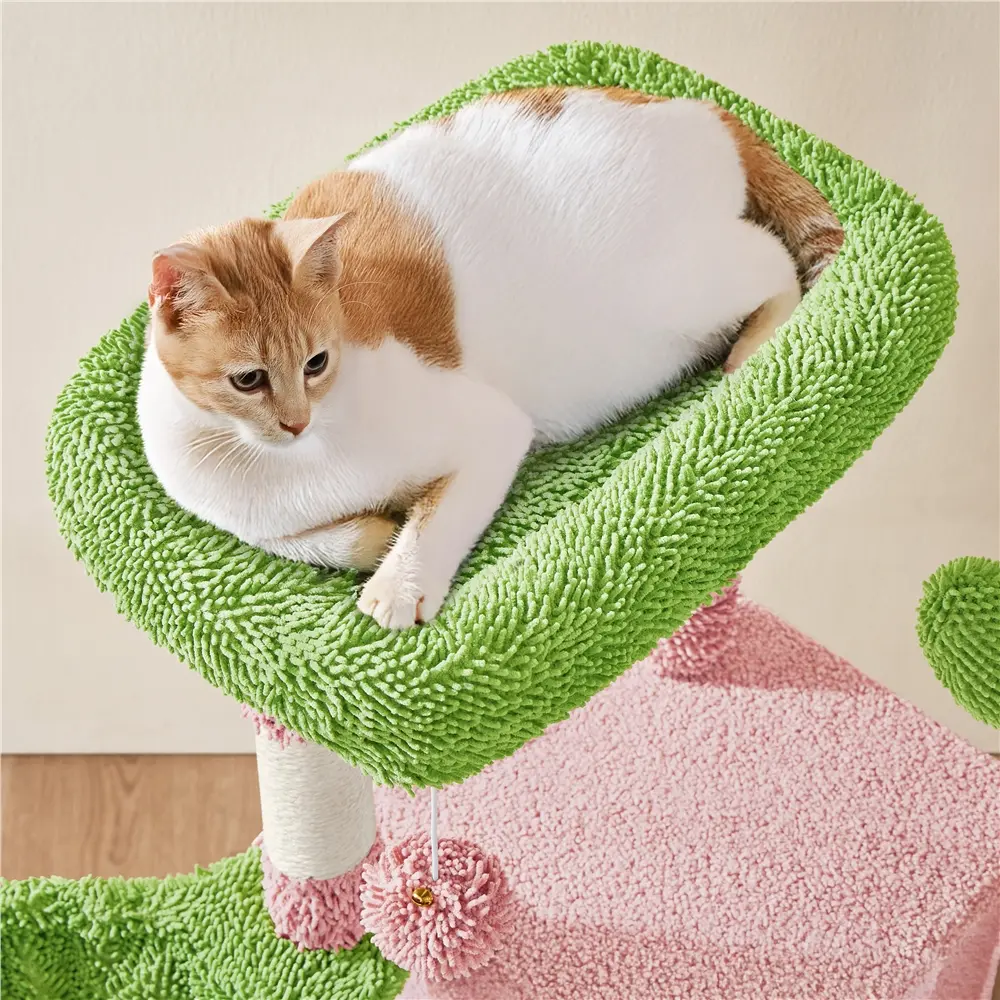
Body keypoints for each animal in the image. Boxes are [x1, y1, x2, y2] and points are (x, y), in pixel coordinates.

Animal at [138, 86, 843, 629]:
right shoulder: (250, 526)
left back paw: (754, 340)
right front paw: (373, 535)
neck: (272, 469)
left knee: (774, 260)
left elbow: (434, 517)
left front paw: (399, 583)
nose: (295, 421)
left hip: (678, 285)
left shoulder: (489, 428)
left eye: (317, 363)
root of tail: (695, 105)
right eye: (248, 379)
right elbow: (319, 541)